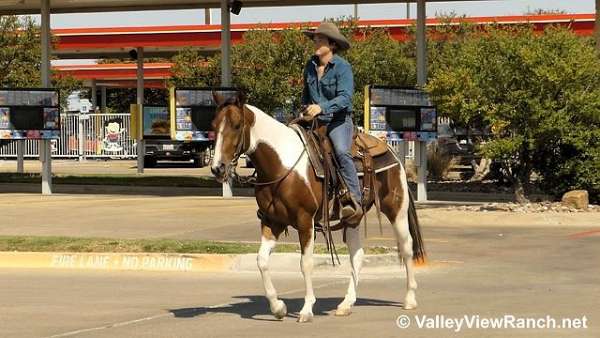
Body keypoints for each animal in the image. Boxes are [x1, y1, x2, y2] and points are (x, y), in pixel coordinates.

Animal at [212, 92, 426, 322]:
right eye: (213, 125)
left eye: (236, 125)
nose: (217, 168)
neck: (283, 164)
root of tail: (392, 153)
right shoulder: (272, 221)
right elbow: (261, 261)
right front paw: (278, 308)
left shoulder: (305, 221)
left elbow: (306, 264)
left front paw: (306, 309)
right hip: (353, 218)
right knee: (357, 256)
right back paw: (346, 304)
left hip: (397, 210)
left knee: (406, 247)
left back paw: (409, 299)